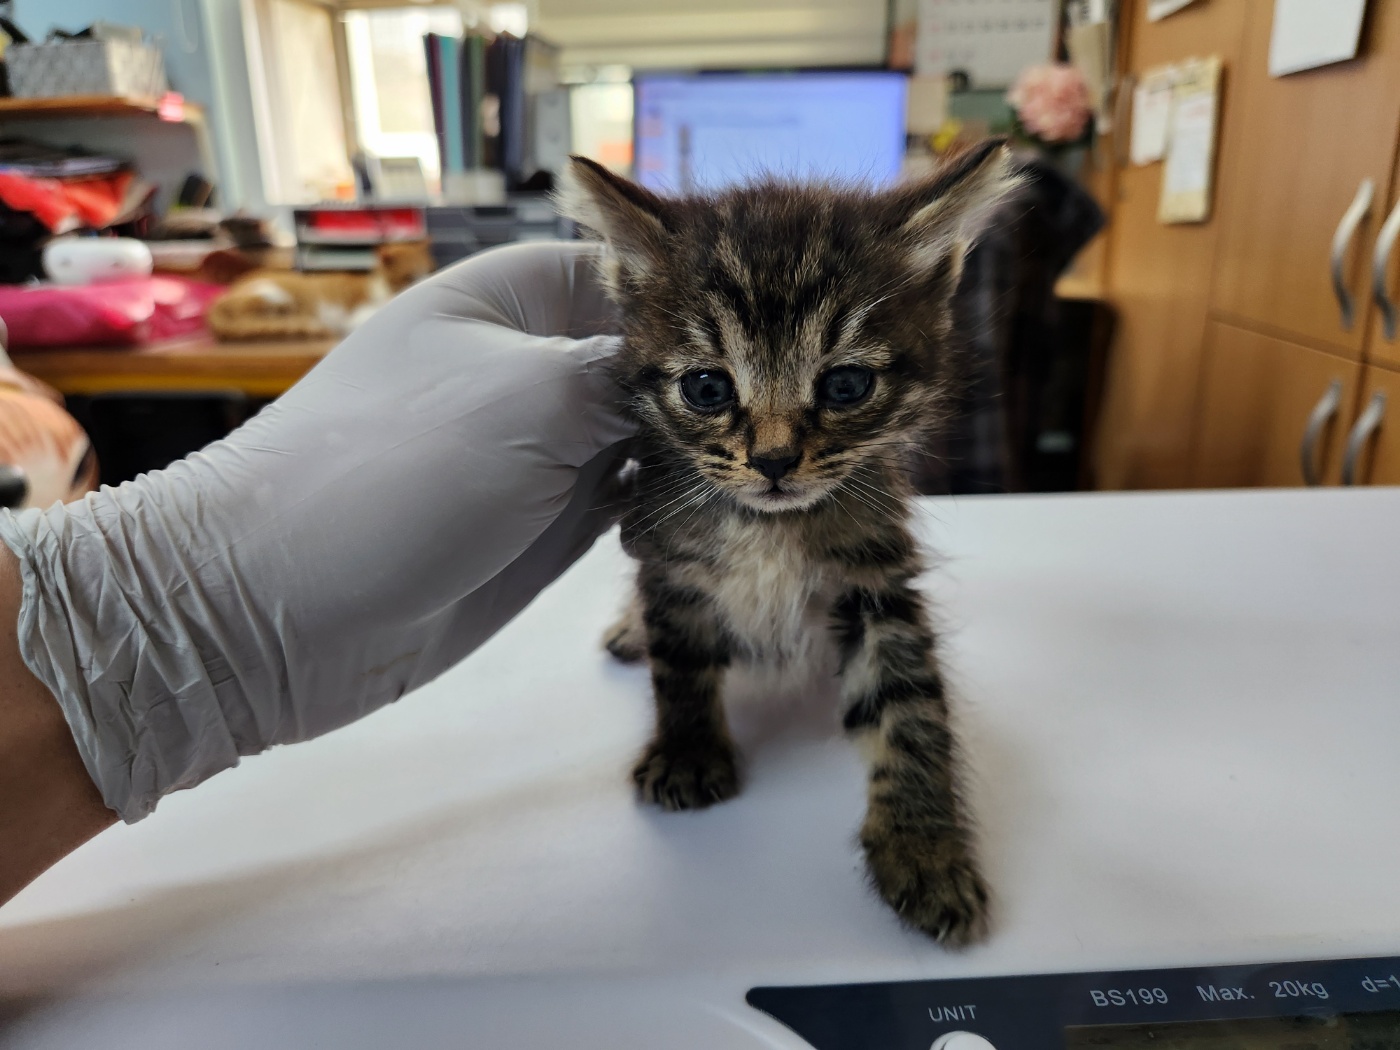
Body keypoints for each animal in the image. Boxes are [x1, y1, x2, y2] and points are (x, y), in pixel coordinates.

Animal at [562, 142, 1024, 946]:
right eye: (708, 388)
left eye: (844, 385)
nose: (774, 460)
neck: (769, 527)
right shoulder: (668, 559)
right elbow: (681, 664)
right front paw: (688, 752)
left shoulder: (877, 579)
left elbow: (911, 708)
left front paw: (925, 847)